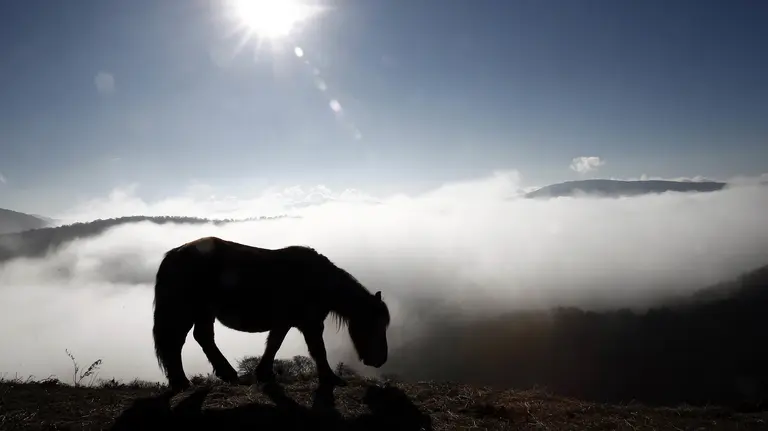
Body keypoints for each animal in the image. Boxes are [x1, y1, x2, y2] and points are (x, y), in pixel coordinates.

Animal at [151, 236, 390, 392]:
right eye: (375, 325)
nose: (380, 360)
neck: (319, 280)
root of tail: (174, 253)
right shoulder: (311, 324)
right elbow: (318, 350)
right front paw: (330, 378)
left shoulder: (284, 322)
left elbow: (274, 344)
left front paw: (264, 373)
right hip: (188, 311)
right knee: (177, 342)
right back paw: (183, 382)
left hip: (202, 312)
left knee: (201, 338)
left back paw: (223, 375)